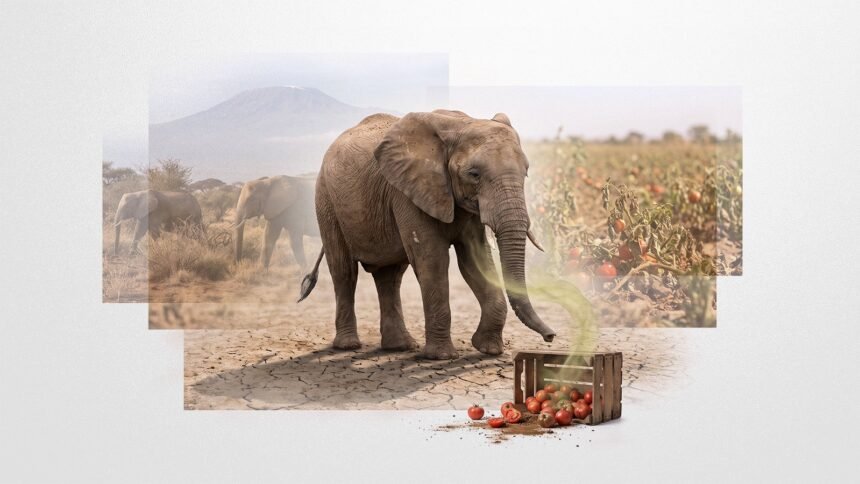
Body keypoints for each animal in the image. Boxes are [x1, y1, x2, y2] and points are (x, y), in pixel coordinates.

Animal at [298, 110, 556, 360]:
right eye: (474, 174)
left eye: (526, 173)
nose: (551, 336)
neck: (460, 123)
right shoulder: (407, 192)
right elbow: (433, 260)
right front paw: (441, 357)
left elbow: (475, 260)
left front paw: (488, 350)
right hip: (326, 200)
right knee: (344, 271)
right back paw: (348, 346)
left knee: (390, 276)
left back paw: (400, 347)